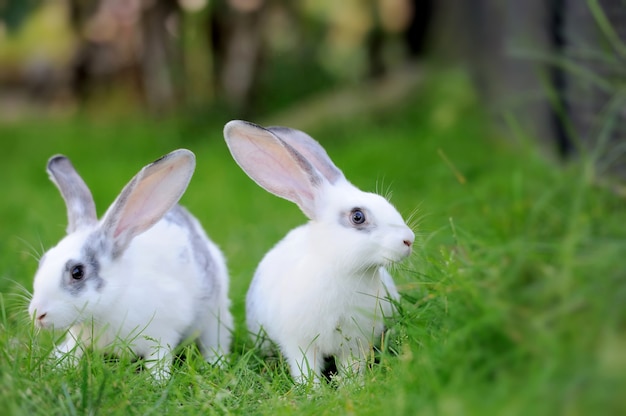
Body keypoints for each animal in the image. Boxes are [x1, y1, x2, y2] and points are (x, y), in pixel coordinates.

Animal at [27, 150, 232, 380]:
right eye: (44, 260)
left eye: (77, 272)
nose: (37, 314)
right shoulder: (77, 337)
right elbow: (73, 350)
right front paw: (60, 364)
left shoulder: (163, 332)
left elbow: (159, 357)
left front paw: (156, 380)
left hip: (215, 314)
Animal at [224, 121, 414, 384]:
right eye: (357, 216)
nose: (409, 240)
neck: (345, 272)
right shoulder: (299, 343)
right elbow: (305, 369)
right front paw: (312, 390)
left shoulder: (355, 342)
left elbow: (352, 367)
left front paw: (352, 387)